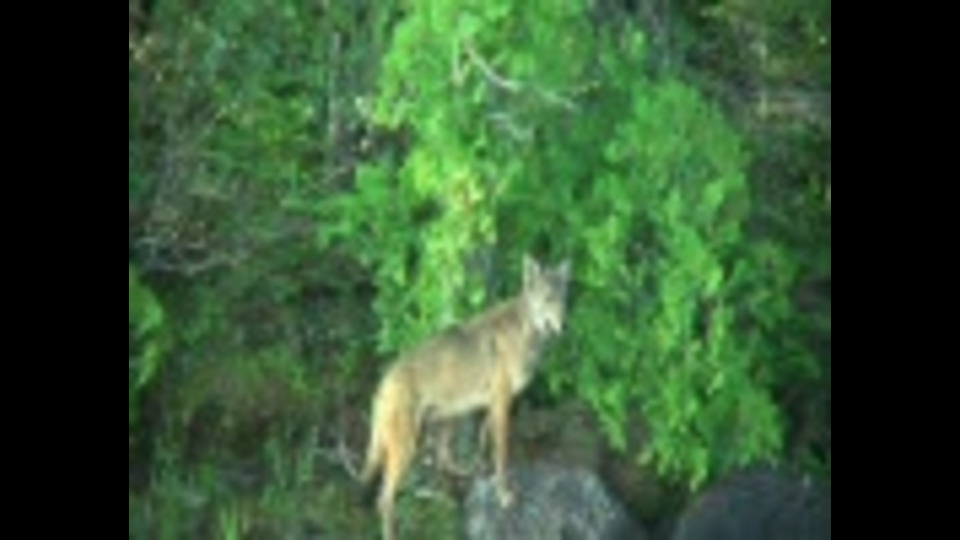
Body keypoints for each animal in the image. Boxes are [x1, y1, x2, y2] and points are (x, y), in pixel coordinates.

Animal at [359, 255, 572, 540]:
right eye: (548, 299)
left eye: (564, 299)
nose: (564, 325)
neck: (526, 332)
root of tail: (384, 381)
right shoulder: (502, 403)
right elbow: (502, 455)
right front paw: (503, 495)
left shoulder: (493, 406)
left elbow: (485, 442)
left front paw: (484, 470)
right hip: (409, 447)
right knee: (384, 499)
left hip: (447, 421)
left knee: (442, 460)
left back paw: (464, 475)